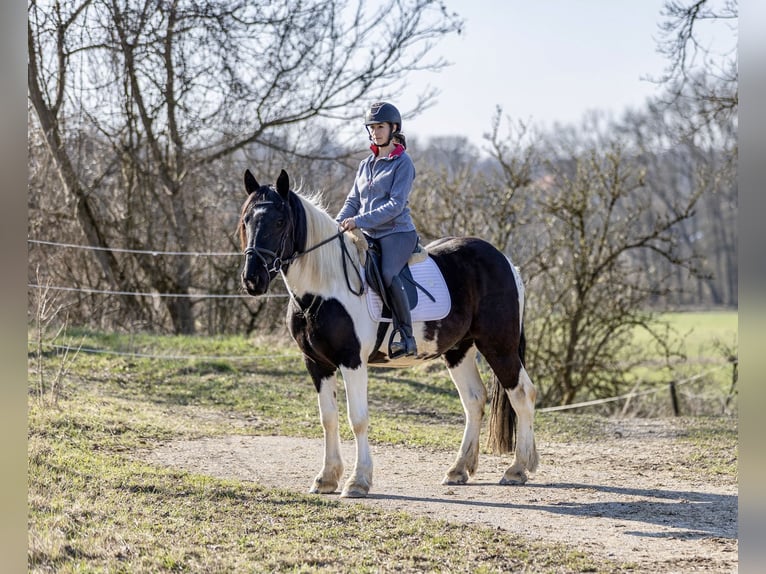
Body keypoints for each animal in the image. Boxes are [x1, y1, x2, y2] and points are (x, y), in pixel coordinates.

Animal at [238, 168, 539, 498]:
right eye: (246, 220)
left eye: (280, 221)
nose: (252, 279)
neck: (324, 288)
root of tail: (506, 262)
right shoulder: (317, 364)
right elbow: (328, 418)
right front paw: (327, 478)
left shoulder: (352, 361)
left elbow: (357, 419)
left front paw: (358, 481)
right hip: (459, 350)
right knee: (474, 400)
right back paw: (459, 469)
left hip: (499, 347)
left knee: (522, 394)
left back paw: (518, 469)